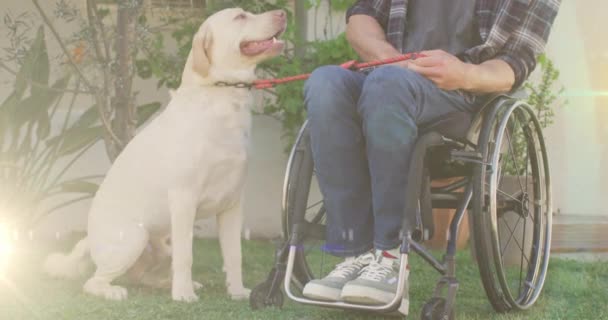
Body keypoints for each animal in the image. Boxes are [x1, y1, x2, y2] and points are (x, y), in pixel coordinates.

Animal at [44, 8, 286, 302]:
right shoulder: (183, 199)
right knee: (94, 281)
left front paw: (238, 292)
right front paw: (182, 295)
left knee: (145, 276)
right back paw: (115, 291)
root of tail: (89, 239)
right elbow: (186, 256)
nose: (282, 13)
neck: (223, 97)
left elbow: (233, 255)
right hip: (135, 237)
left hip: (160, 241)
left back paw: (168, 284)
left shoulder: (232, 204)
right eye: (240, 16)